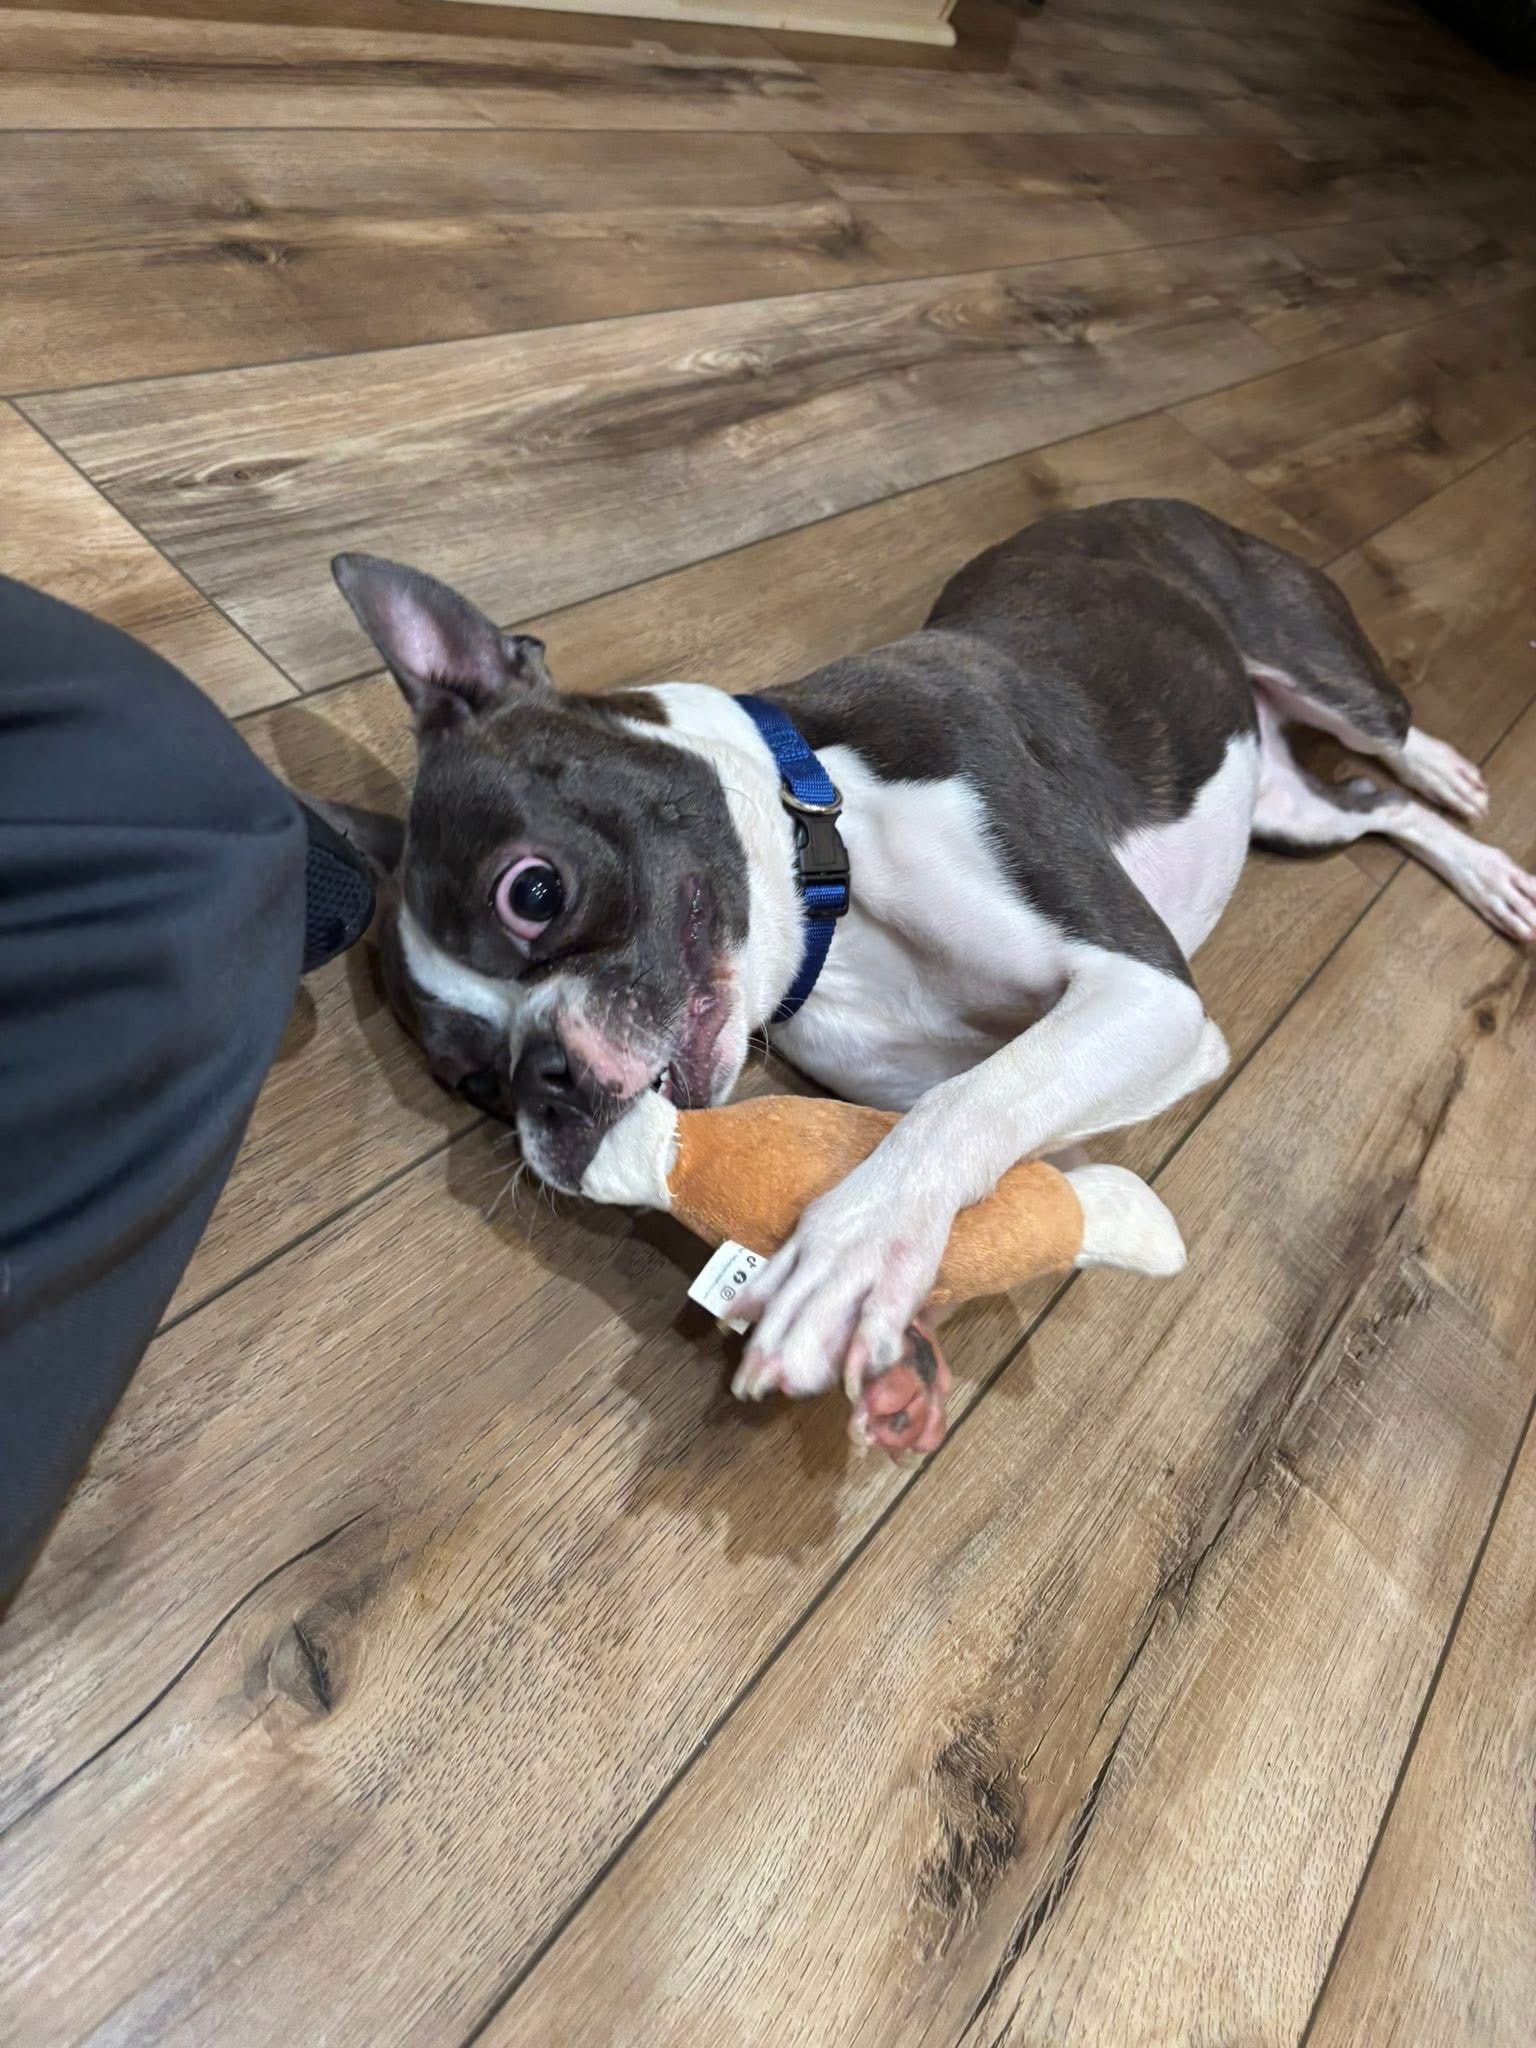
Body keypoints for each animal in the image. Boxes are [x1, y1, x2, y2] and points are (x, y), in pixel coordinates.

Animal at [319, 498, 1536, 1410]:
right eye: (476, 1085)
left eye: (533, 891)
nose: (544, 1082)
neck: (827, 860)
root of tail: (1138, 503)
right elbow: (986, 1115)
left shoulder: (1145, 983)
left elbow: (968, 1105)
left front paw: (853, 1257)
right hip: (1282, 808)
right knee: (1368, 809)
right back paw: (1483, 873)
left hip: (1307, 656)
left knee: (1387, 741)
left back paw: (1460, 792)